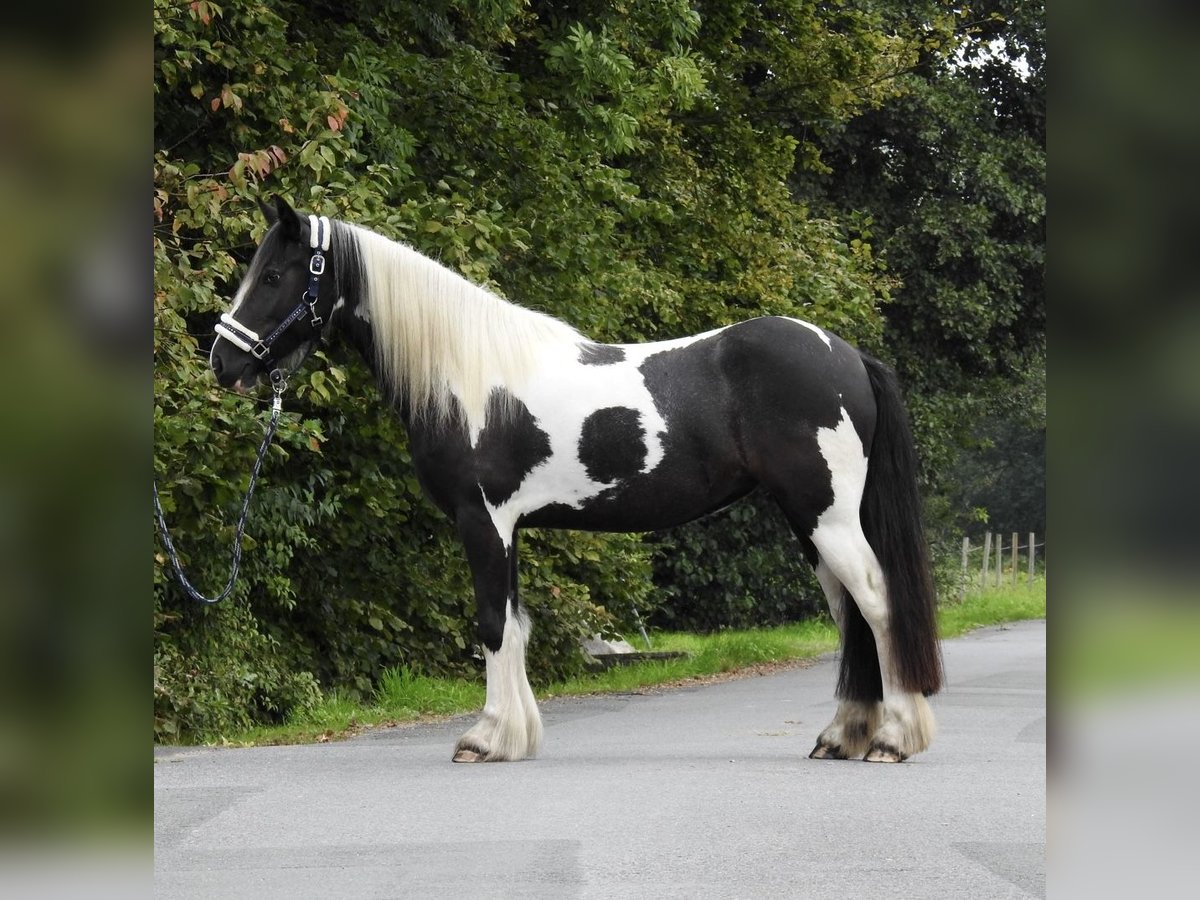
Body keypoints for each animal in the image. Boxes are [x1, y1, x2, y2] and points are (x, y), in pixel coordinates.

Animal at [211, 195, 940, 763]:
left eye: (273, 274)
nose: (222, 361)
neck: (468, 377)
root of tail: (847, 356)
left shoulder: (483, 520)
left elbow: (492, 624)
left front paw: (485, 738)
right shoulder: (509, 527)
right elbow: (515, 623)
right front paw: (514, 735)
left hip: (827, 516)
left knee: (877, 602)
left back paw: (892, 739)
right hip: (809, 521)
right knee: (848, 613)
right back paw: (841, 736)